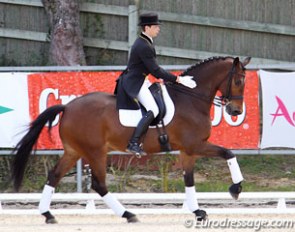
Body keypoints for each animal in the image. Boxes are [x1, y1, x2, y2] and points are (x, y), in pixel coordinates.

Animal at [11, 55, 252, 223]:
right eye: (239, 81)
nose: (236, 111)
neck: (190, 98)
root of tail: (68, 107)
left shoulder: (188, 150)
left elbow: (189, 179)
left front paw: (198, 211)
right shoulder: (196, 145)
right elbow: (229, 153)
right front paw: (236, 188)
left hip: (74, 151)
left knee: (54, 175)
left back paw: (48, 214)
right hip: (95, 152)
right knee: (99, 184)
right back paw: (127, 214)